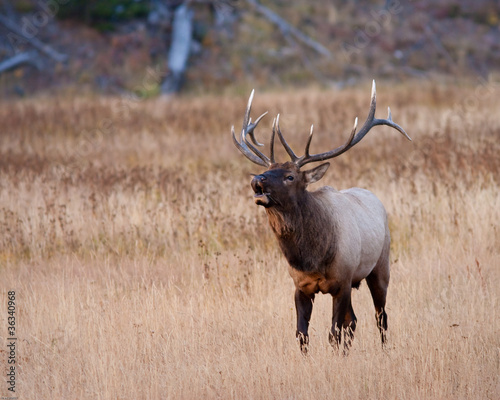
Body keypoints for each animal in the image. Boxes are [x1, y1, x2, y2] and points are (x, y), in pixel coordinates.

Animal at [230, 80, 410, 354]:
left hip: (380, 266)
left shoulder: (342, 281)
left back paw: (384, 350)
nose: (257, 181)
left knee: (380, 316)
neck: (312, 257)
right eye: (268, 170)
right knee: (354, 320)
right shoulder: (300, 286)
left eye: (290, 176)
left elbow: (333, 332)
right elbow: (302, 334)